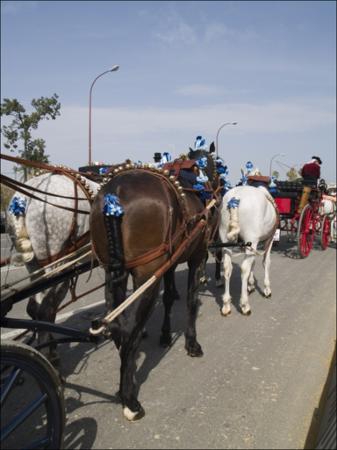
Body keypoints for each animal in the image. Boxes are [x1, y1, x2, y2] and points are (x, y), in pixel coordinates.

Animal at [5, 171, 99, 360]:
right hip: (56, 258)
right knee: (46, 308)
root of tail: (23, 199)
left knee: (38, 308)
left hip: (37, 266)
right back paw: (47, 353)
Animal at [89, 149, 220, 422]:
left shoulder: (169, 263)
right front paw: (192, 343)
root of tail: (114, 193)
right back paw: (130, 399)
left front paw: (165, 334)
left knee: (117, 325)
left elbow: (170, 297)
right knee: (130, 329)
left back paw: (123, 385)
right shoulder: (196, 256)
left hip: (114, 272)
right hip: (147, 275)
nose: (218, 192)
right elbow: (191, 300)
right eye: (215, 169)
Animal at [218, 185, 278, 314]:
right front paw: (266, 288)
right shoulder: (269, 239)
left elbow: (253, 262)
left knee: (227, 268)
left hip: (225, 239)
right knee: (244, 269)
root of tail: (235, 198)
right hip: (252, 239)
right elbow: (266, 262)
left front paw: (250, 285)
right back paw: (245, 304)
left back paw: (226, 304)